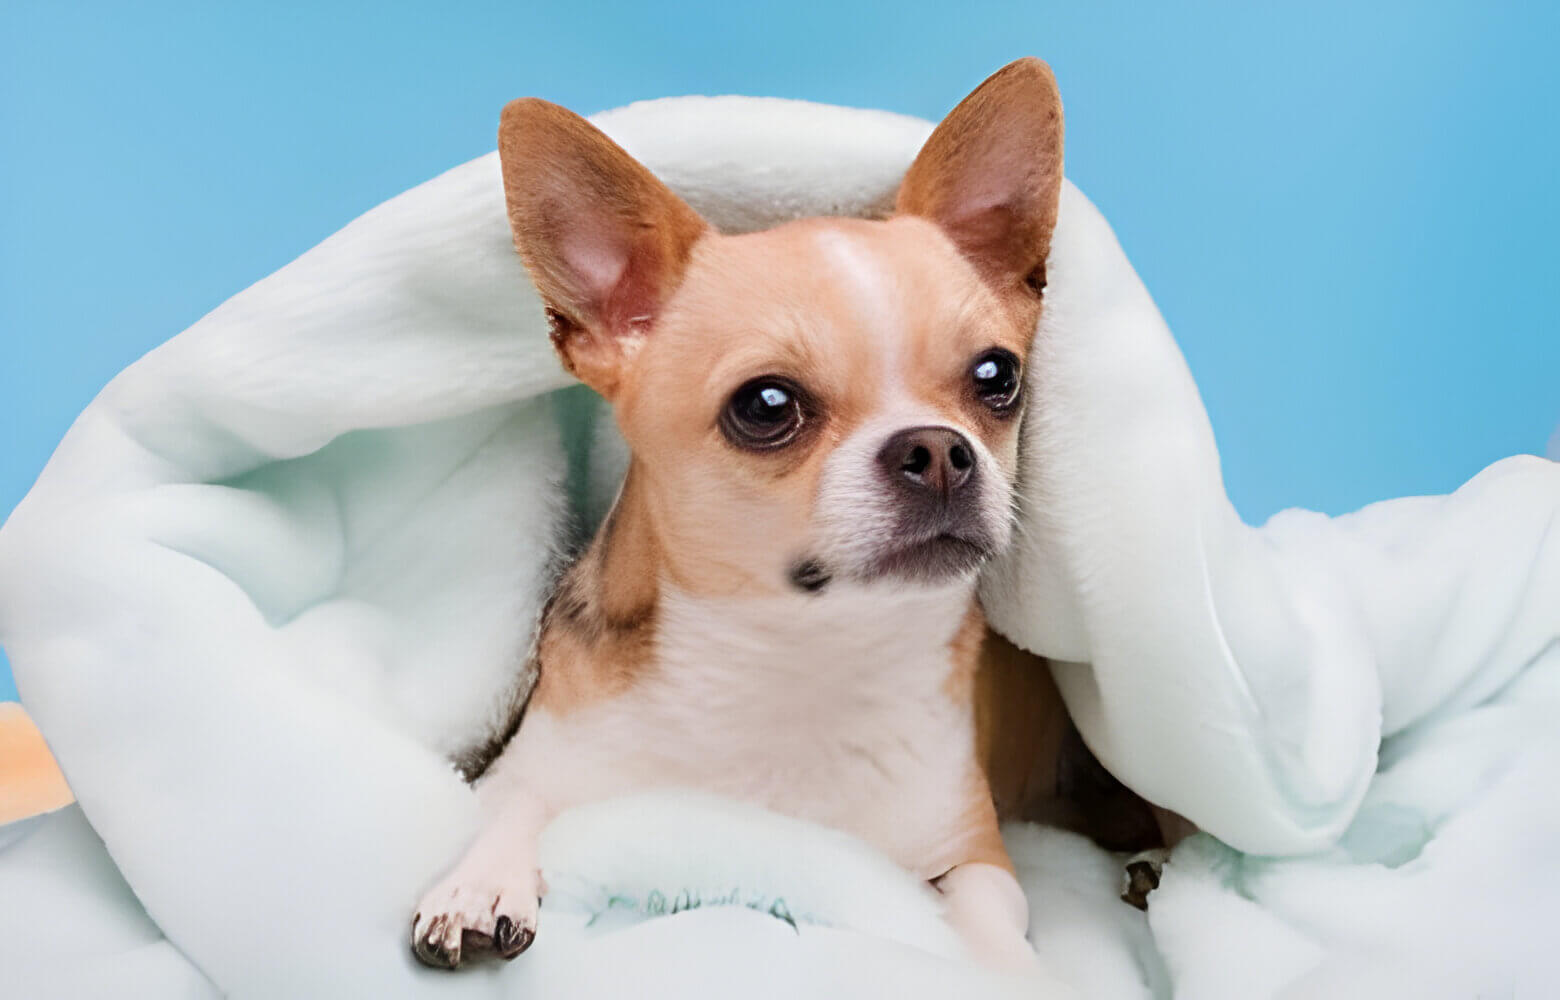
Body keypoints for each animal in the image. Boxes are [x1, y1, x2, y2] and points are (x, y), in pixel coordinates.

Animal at [414, 56, 1173, 973]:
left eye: (998, 377)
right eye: (766, 405)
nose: (939, 449)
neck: (800, 662)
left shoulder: (975, 850)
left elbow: (988, 911)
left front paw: (1010, 969)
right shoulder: (536, 755)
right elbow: (515, 801)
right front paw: (477, 880)